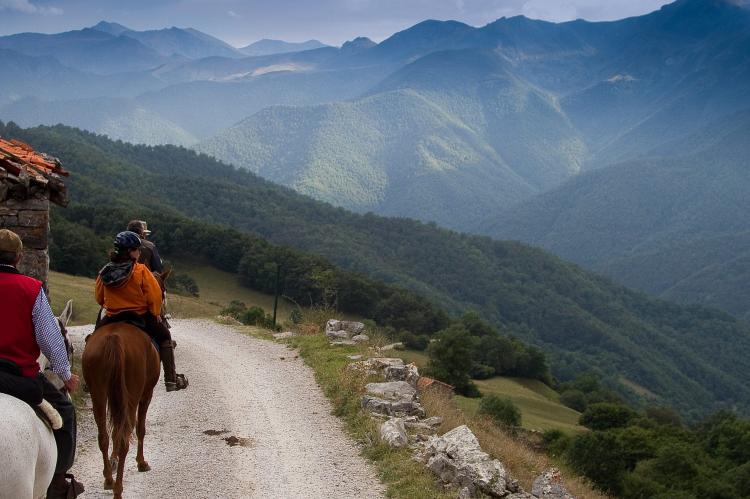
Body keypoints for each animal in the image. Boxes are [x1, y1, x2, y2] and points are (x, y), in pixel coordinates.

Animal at [83, 270, 171, 499]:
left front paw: (113, 464)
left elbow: (114, 430)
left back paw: (108, 479)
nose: (163, 316)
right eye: (163, 292)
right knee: (124, 437)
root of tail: (114, 338)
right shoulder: (146, 393)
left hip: (99, 393)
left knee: (104, 435)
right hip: (131, 394)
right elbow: (140, 428)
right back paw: (118, 488)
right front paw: (141, 463)